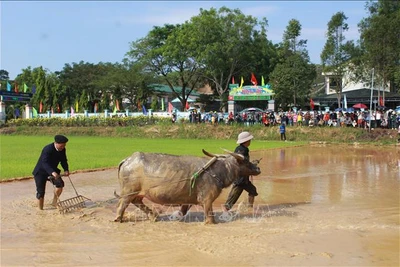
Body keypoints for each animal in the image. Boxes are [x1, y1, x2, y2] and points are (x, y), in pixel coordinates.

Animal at [114, 150, 260, 225]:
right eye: (246, 161)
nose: (258, 168)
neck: (218, 171)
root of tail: (127, 160)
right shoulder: (207, 200)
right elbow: (210, 217)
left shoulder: (189, 199)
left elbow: (183, 210)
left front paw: (176, 217)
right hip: (128, 191)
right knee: (122, 204)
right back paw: (118, 219)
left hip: (136, 192)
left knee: (137, 201)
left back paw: (153, 216)